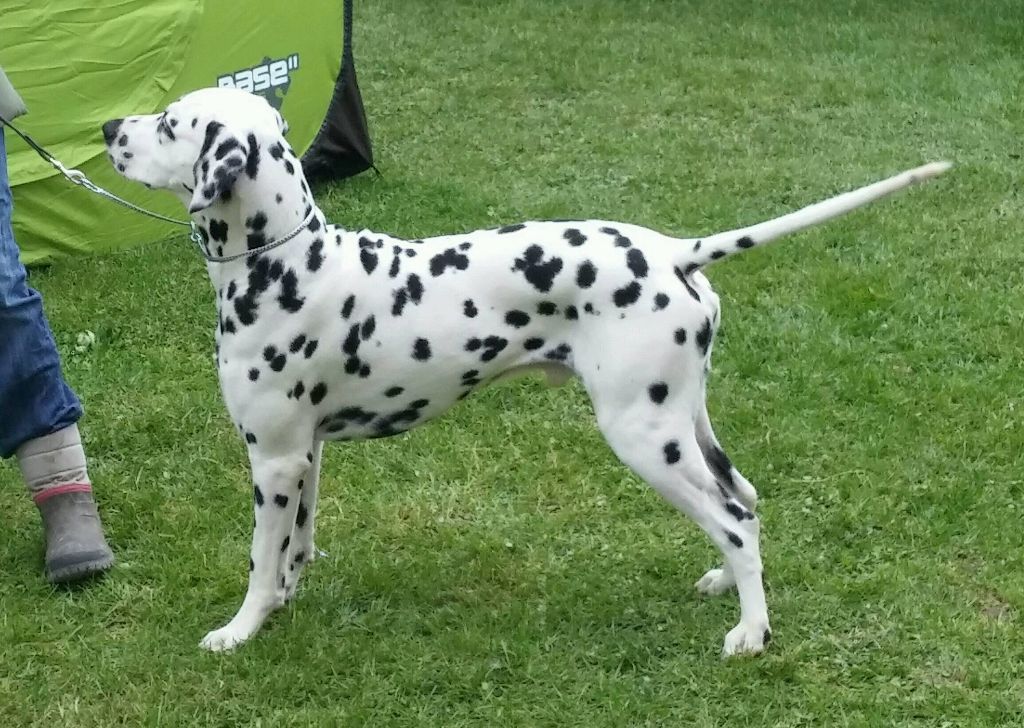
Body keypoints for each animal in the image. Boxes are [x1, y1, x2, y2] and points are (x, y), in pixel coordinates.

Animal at [103, 88, 950, 659]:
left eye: (171, 122)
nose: (110, 127)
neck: (288, 265)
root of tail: (676, 251)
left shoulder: (273, 461)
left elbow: (257, 558)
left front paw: (240, 629)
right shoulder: (303, 455)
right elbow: (295, 549)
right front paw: (283, 602)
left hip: (645, 438)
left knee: (736, 521)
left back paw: (751, 631)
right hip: (686, 426)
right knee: (743, 500)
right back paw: (726, 590)